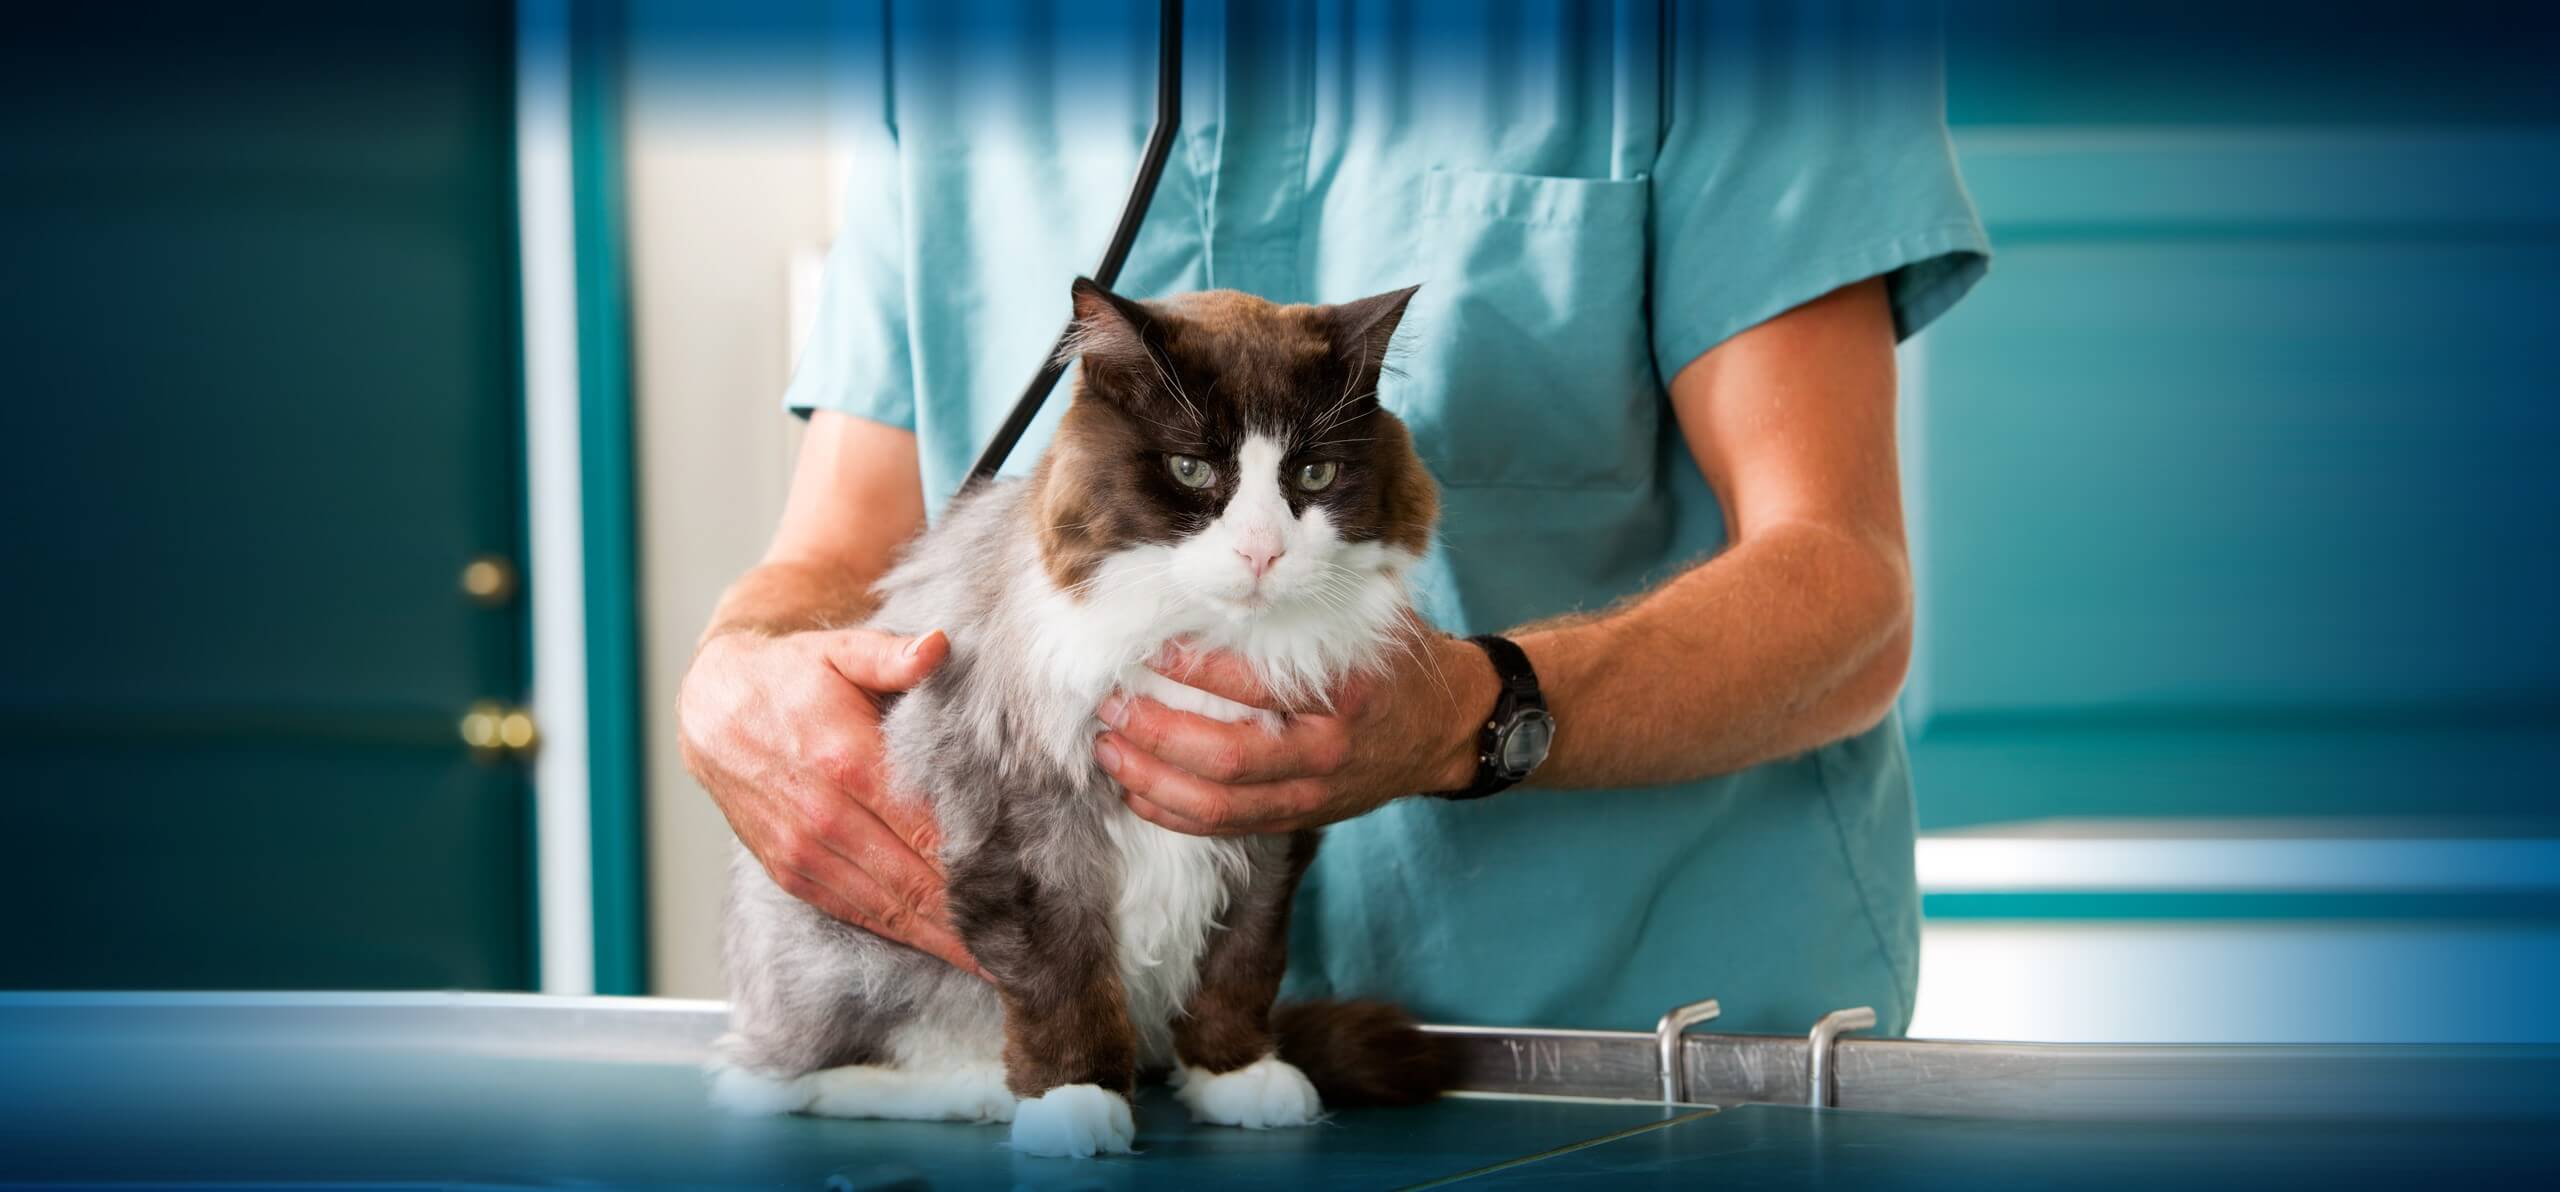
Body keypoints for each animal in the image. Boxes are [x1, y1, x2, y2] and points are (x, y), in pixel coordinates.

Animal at [711, 277, 1454, 1156]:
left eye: (1313, 474)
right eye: (1189, 468)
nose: (1261, 552)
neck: (1205, 641)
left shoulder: (1269, 831)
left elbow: (1239, 967)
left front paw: (1235, 1074)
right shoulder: (1029, 831)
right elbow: (1063, 981)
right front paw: (1076, 1100)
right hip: (847, 958)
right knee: (773, 1080)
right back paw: (977, 1091)